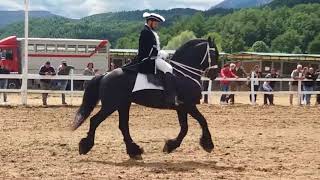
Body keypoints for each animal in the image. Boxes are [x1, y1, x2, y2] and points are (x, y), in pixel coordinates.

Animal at [71, 37, 219, 159]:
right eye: (214, 54)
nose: (214, 74)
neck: (183, 74)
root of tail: (105, 75)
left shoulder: (182, 107)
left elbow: (185, 127)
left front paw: (170, 146)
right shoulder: (188, 105)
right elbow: (202, 121)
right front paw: (208, 144)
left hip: (123, 104)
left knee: (123, 126)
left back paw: (134, 151)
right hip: (110, 105)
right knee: (95, 121)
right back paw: (85, 146)